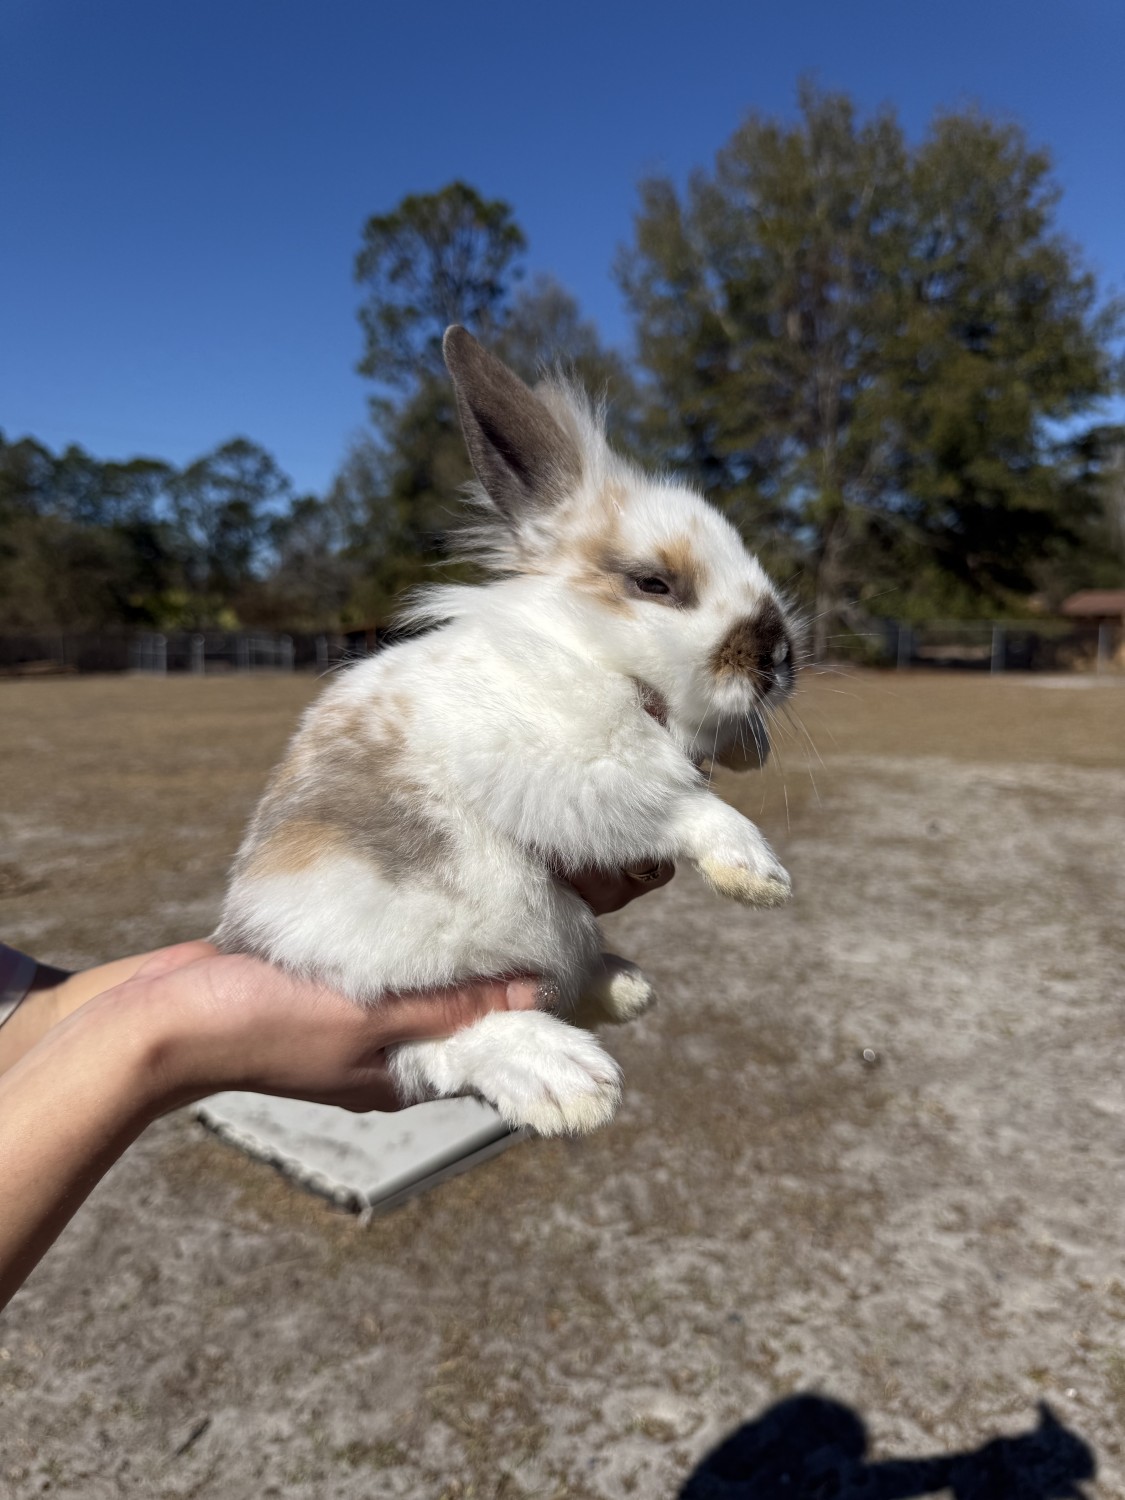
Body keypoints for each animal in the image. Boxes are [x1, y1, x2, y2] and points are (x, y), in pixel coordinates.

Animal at [215, 325, 798, 1136]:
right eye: (654, 583)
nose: (778, 659)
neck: (593, 656)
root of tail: (256, 940)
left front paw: (749, 752)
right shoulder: (586, 775)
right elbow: (682, 806)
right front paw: (759, 876)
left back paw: (623, 988)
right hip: (406, 968)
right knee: (434, 1042)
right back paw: (568, 1081)